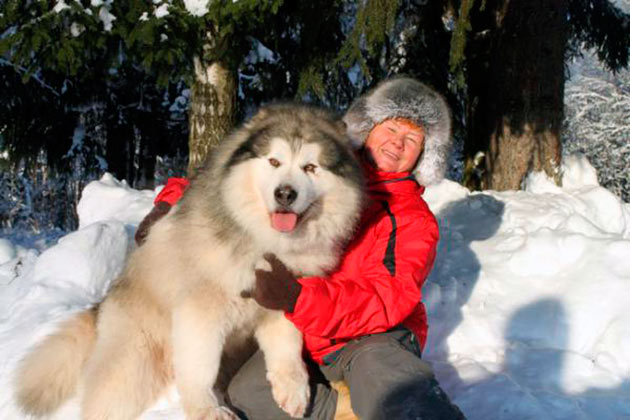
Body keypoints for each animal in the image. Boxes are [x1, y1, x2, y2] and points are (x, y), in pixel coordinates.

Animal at [14, 103, 366, 418]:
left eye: (310, 167)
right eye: (274, 161)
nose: (285, 194)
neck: (262, 239)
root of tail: (104, 305)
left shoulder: (283, 298)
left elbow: (287, 348)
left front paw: (293, 390)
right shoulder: (201, 311)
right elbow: (200, 366)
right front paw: (205, 409)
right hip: (133, 364)